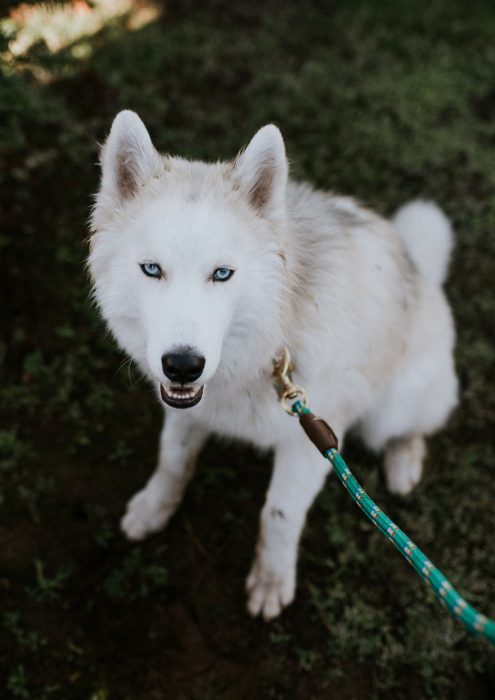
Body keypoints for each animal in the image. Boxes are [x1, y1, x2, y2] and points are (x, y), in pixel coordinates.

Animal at [87, 112, 460, 620]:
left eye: (222, 274)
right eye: (151, 269)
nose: (182, 366)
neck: (260, 356)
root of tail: (420, 269)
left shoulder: (313, 439)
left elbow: (279, 514)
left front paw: (271, 579)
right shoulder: (188, 412)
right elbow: (173, 461)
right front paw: (154, 508)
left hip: (393, 407)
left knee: (414, 426)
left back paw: (404, 460)